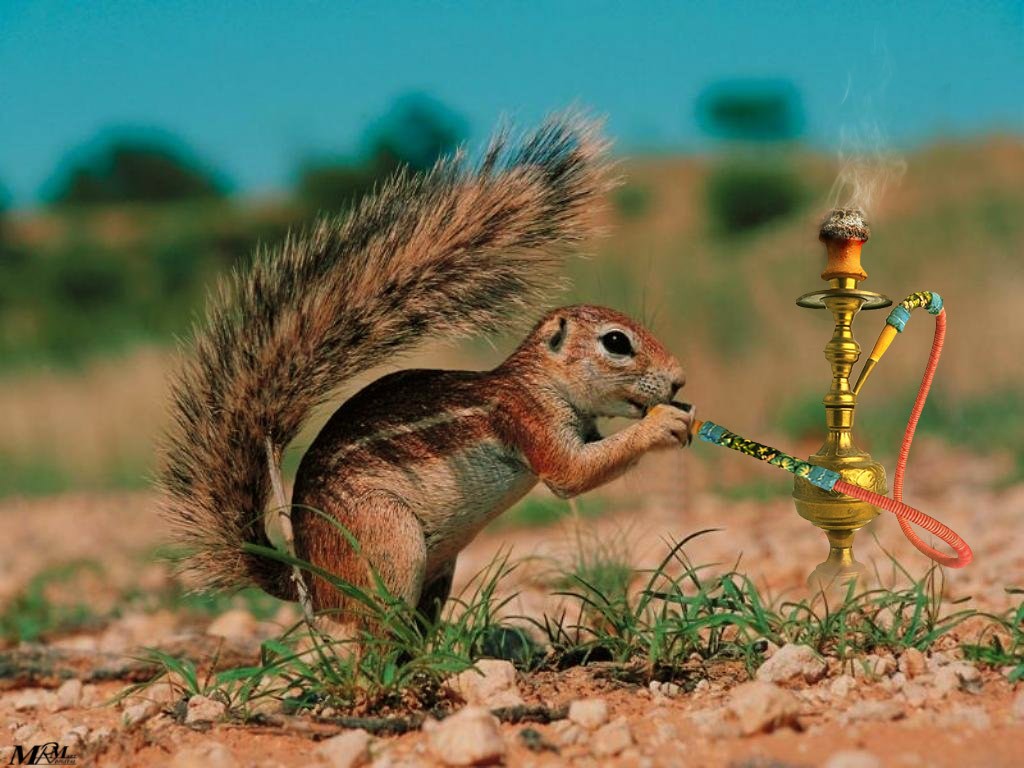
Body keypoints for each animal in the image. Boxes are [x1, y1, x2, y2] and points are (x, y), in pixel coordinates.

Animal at [161, 112, 696, 630]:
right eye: (616, 342)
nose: (679, 380)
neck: (539, 382)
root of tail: (309, 578)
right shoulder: (527, 419)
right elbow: (572, 475)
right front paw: (664, 424)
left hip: (437, 571)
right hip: (388, 541)